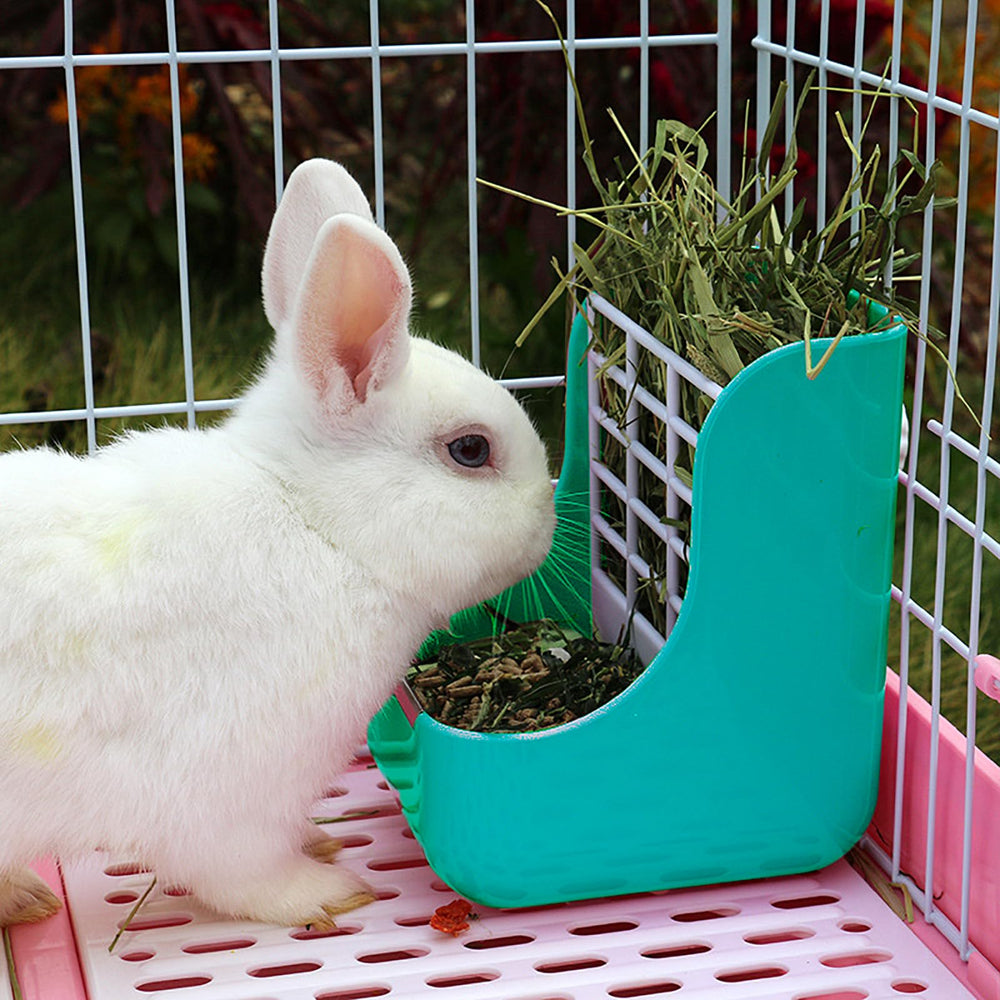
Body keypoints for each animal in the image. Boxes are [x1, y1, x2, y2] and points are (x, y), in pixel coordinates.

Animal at [0, 158, 555, 929]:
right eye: (470, 450)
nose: (550, 516)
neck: (318, 526)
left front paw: (319, 842)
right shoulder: (223, 796)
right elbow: (241, 872)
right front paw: (328, 891)